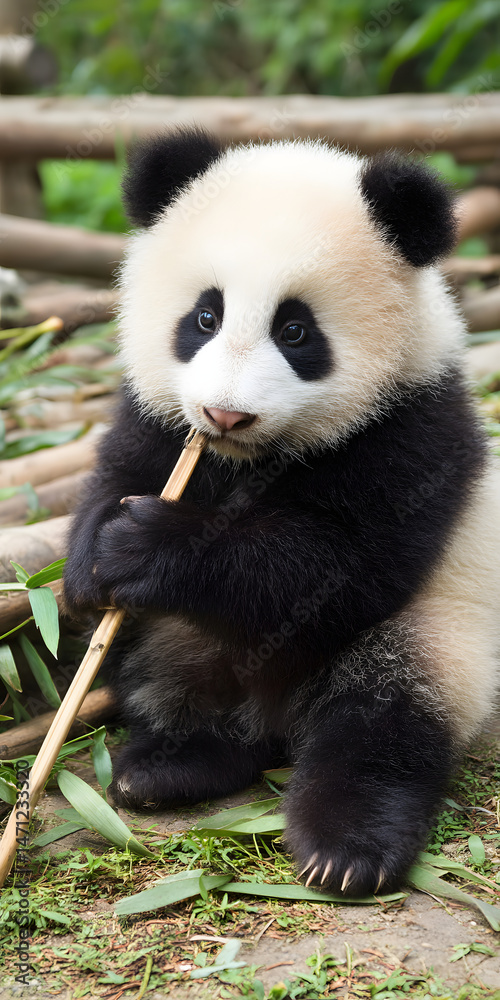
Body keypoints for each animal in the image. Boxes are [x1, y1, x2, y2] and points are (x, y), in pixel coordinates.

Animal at [63, 128, 500, 897]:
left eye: (296, 332)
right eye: (204, 317)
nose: (224, 413)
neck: (252, 456)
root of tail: (275, 717)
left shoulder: (412, 429)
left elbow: (342, 563)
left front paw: (147, 547)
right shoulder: (157, 416)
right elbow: (120, 470)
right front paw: (90, 563)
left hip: (440, 631)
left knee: (384, 721)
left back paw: (347, 845)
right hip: (179, 642)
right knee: (164, 673)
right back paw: (171, 763)